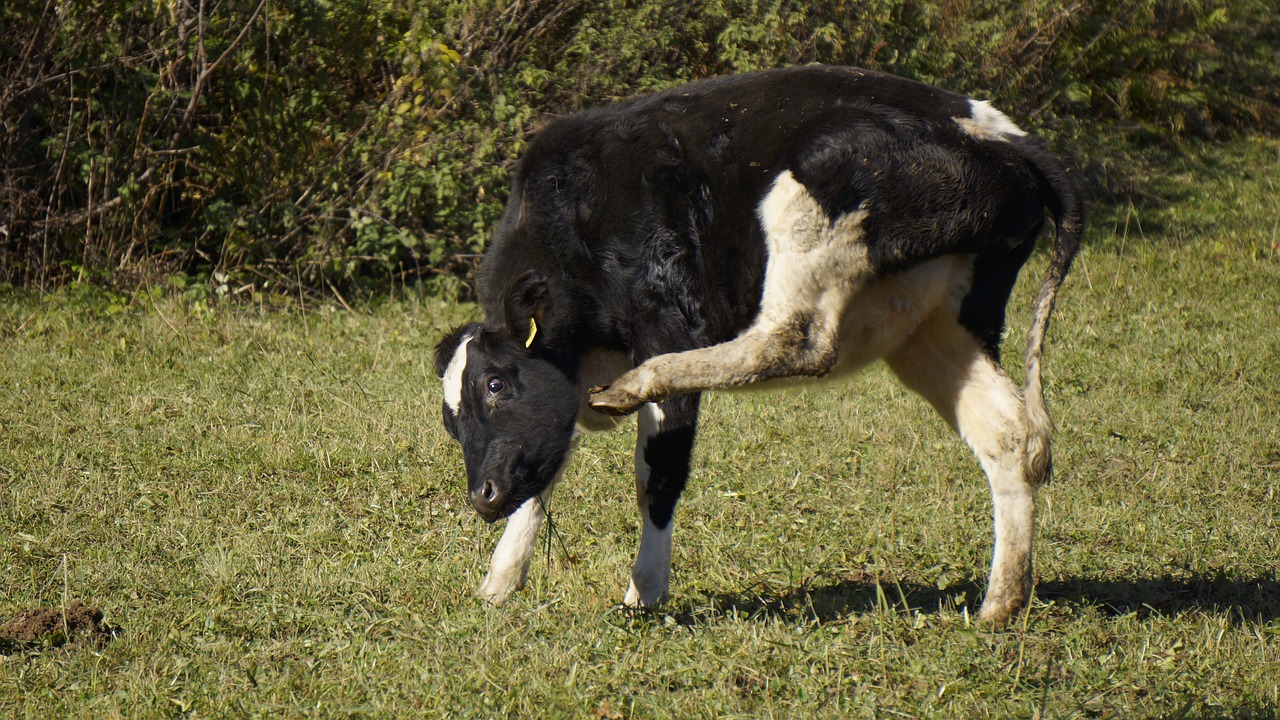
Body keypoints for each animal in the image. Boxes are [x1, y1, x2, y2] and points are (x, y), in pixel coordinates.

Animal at [437, 65, 1080, 622]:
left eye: (495, 383)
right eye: (452, 420)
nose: (482, 496)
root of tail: (998, 129)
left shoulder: (669, 321)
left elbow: (658, 476)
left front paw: (644, 591)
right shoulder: (562, 393)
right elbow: (542, 467)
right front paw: (499, 581)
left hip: (817, 183)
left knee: (797, 340)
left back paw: (637, 384)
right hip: (936, 323)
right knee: (1009, 434)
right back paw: (1001, 603)